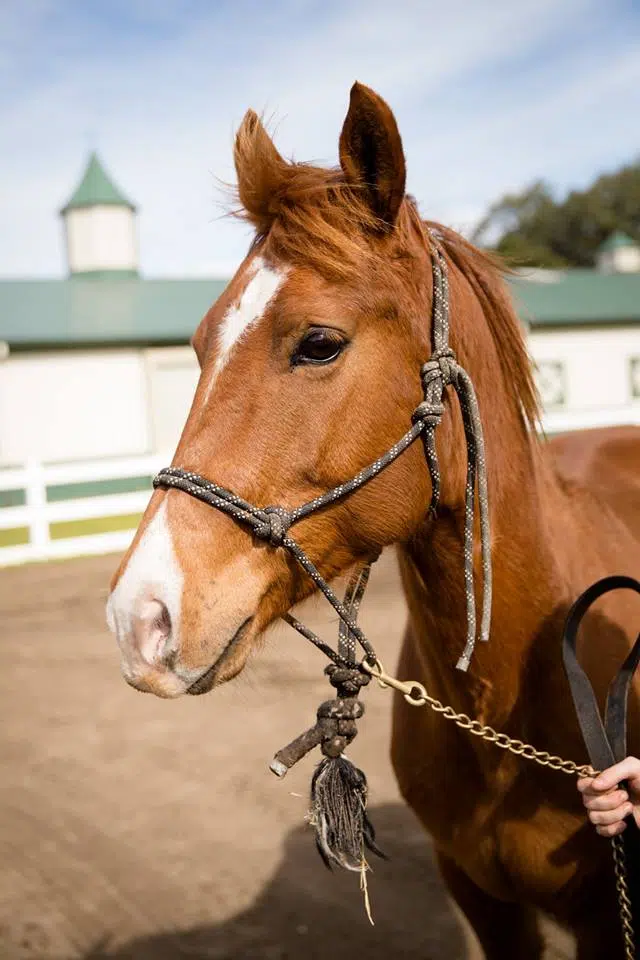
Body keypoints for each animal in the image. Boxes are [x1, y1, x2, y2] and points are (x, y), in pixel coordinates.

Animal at [107, 84, 640, 960]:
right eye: (199, 345)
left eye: (320, 343)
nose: (138, 618)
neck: (508, 694)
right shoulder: (481, 896)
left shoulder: (605, 913)